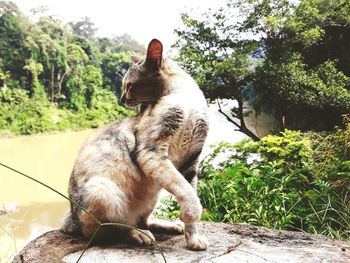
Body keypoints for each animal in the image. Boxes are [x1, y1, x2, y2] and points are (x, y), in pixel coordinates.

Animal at [61, 38, 209, 251]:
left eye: (129, 85)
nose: (122, 99)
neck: (185, 98)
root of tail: (71, 219)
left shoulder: (192, 158)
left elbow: (189, 190)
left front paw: (193, 238)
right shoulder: (152, 152)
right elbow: (186, 190)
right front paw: (189, 214)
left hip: (151, 196)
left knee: (143, 220)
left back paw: (168, 225)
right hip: (102, 192)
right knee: (109, 231)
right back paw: (138, 235)